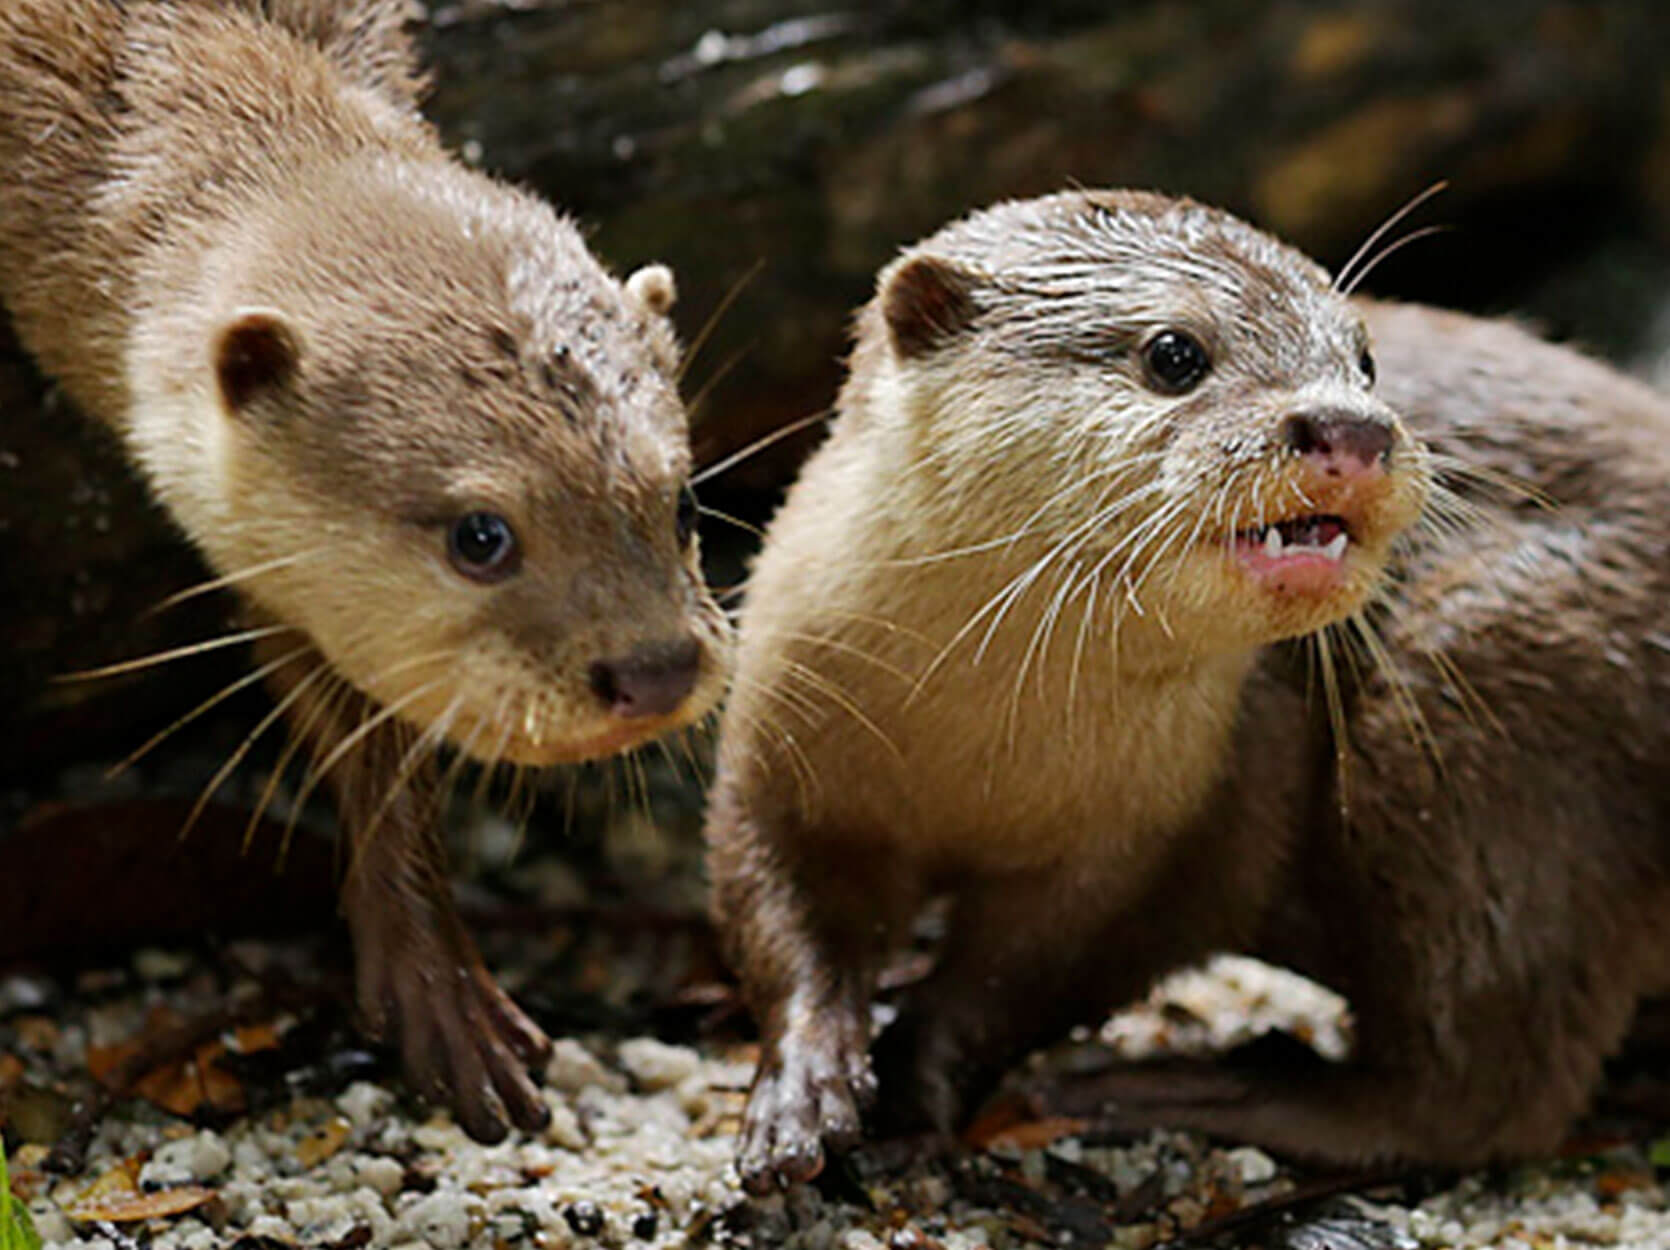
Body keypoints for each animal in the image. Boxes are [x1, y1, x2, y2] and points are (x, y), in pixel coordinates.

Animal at [705, 189, 1670, 1190]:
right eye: (1174, 354)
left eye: (1364, 360)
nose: (1353, 428)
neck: (974, 753)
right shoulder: (784, 740)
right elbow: (785, 913)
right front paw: (802, 1089)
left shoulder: (1159, 836)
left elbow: (1023, 977)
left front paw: (916, 1093)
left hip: (1484, 690)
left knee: (1484, 1075)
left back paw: (1193, 1089)